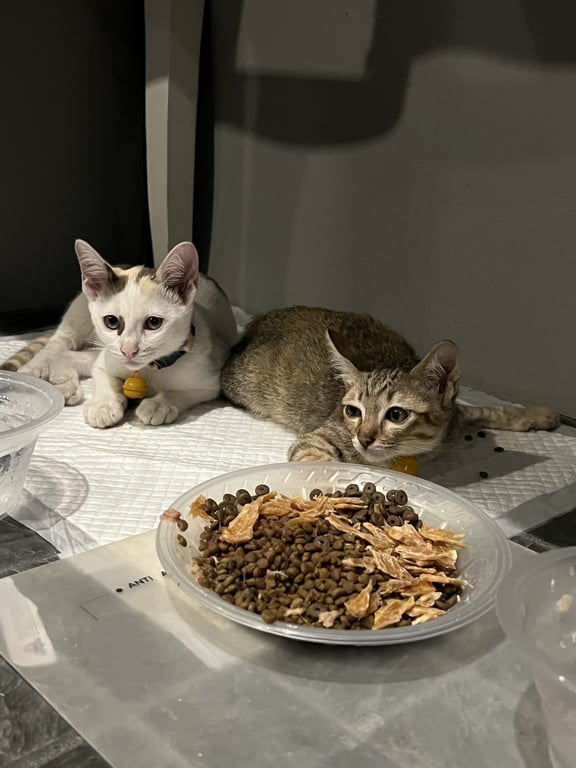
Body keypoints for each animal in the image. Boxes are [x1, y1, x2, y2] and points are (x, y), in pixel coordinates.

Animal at [13, 239, 239, 428]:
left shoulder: (213, 376)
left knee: (67, 355)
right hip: (82, 320)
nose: (128, 350)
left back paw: (64, 382)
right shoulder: (108, 359)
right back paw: (37, 368)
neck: (147, 371)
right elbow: (103, 376)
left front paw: (159, 405)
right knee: (59, 343)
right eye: (111, 321)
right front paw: (105, 404)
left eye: (154, 323)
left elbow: (185, 393)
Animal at [221, 306, 559, 466]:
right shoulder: (316, 439)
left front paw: (535, 414)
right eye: (352, 412)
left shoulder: (455, 415)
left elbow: (489, 411)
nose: (364, 439)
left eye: (396, 414)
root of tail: (258, 321)